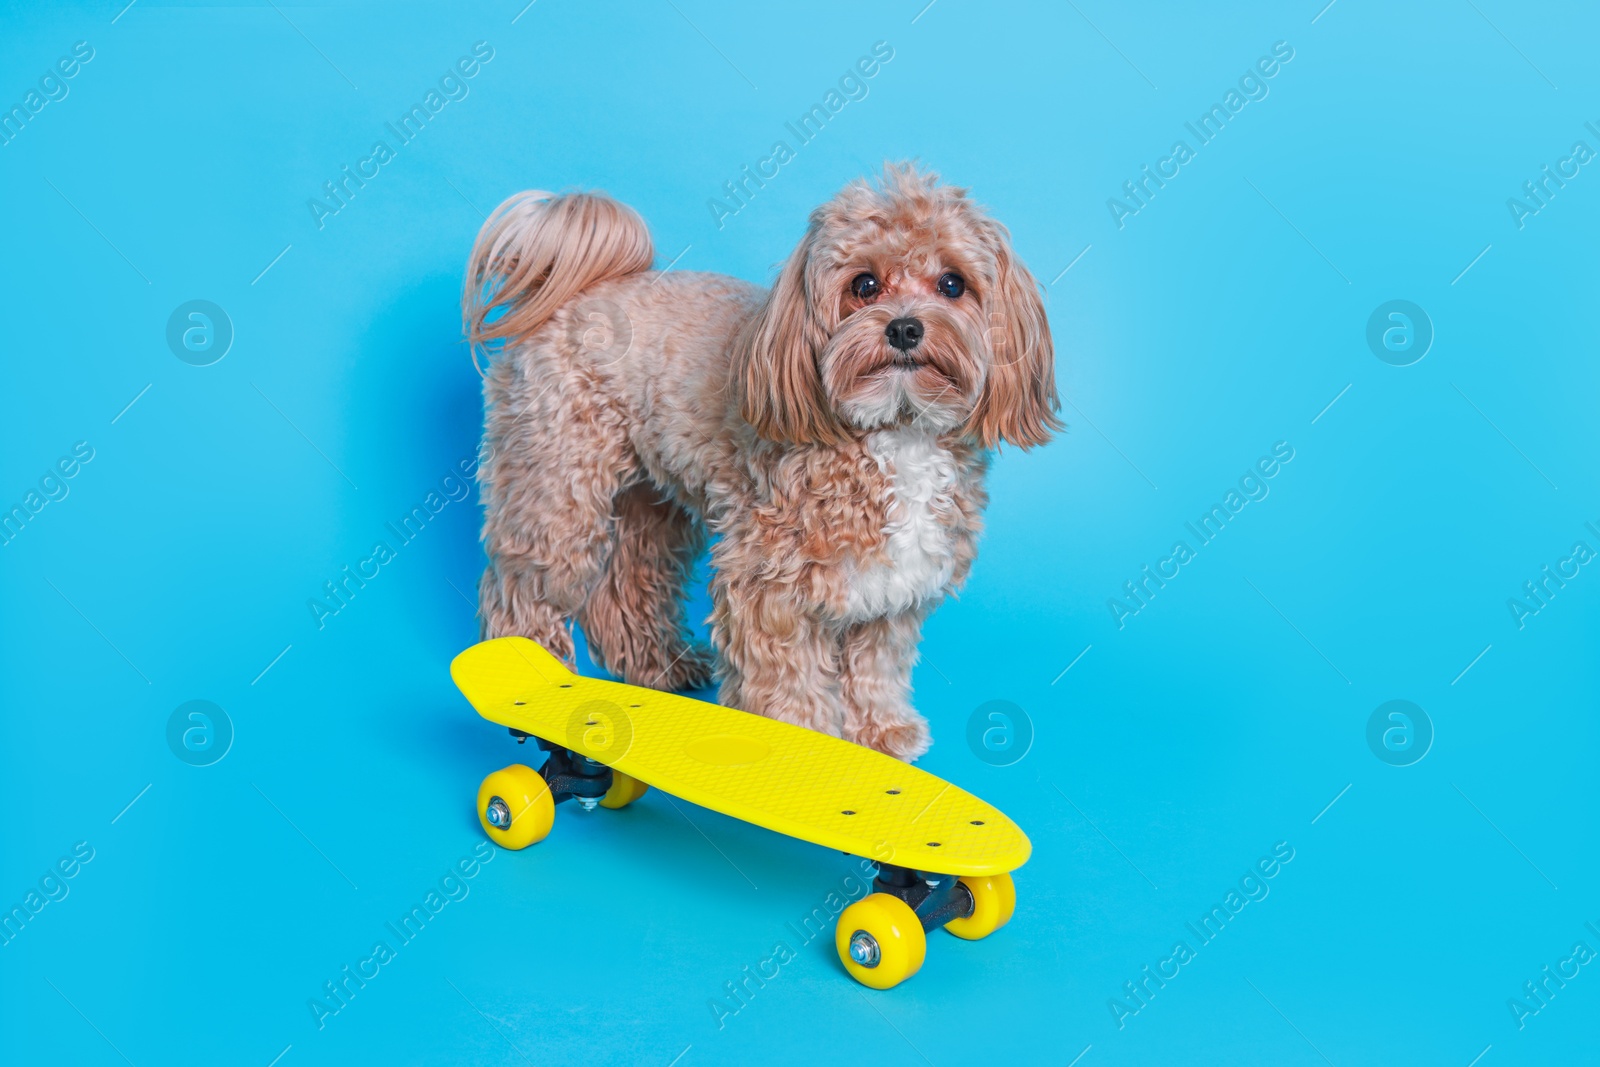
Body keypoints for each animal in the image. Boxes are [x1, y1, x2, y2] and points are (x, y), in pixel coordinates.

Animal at [464, 163, 1062, 758]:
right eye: (864, 285)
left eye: (953, 284)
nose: (904, 327)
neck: (895, 429)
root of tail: (578, 288)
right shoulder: (769, 582)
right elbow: (786, 675)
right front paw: (797, 744)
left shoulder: (892, 585)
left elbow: (877, 661)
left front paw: (881, 730)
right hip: (556, 484)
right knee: (525, 584)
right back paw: (529, 686)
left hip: (649, 500)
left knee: (627, 579)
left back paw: (660, 666)